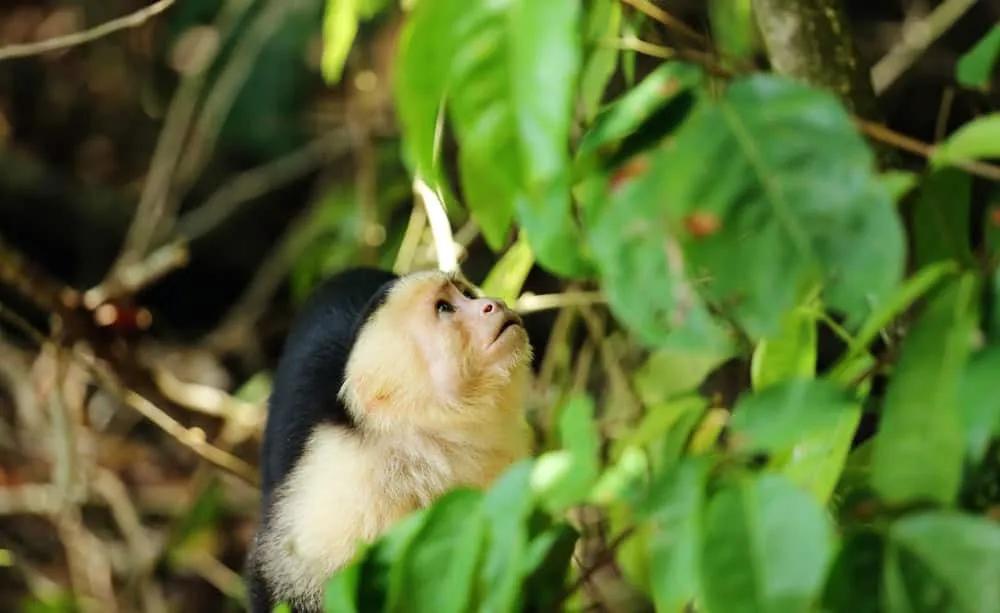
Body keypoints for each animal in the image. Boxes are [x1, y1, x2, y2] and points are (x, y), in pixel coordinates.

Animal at [246, 267, 533, 612]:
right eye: (444, 308)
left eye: (467, 294)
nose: (492, 304)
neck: (421, 443)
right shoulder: (348, 483)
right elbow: (284, 583)